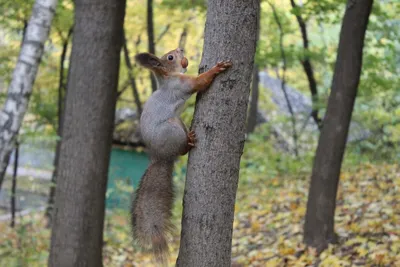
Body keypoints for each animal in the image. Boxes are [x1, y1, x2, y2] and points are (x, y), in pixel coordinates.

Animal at [131, 47, 231, 264]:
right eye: (170, 57)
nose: (180, 49)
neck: (169, 77)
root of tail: (160, 156)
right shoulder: (183, 85)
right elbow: (200, 82)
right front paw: (217, 68)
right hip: (174, 128)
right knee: (182, 149)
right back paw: (189, 143)